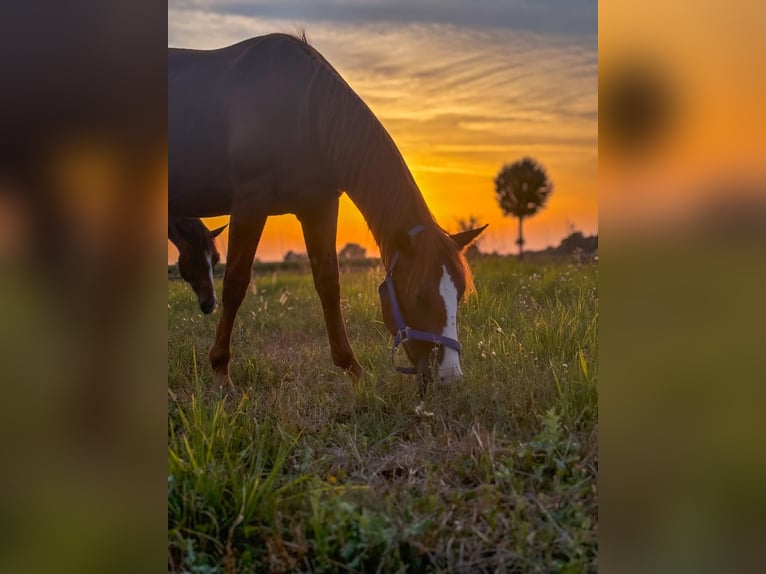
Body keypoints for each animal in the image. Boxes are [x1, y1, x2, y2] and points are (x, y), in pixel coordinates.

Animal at [171, 33, 488, 394]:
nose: (450, 377)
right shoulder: (250, 203)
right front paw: (221, 371)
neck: (304, 112)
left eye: (460, 295)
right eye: (420, 295)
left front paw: (353, 369)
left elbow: (329, 284)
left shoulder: (319, 207)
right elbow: (236, 283)